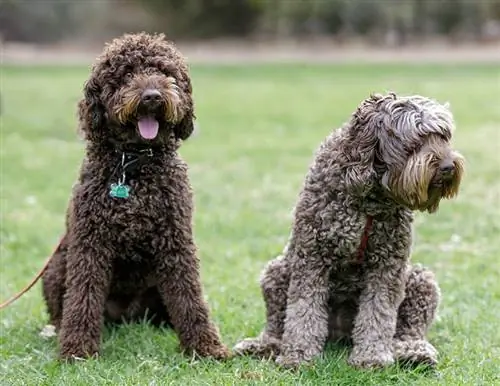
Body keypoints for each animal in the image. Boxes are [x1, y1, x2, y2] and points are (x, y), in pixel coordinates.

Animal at [42, 33, 229, 362]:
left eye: (166, 73)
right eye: (127, 74)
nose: (152, 96)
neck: (132, 165)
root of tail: (126, 316)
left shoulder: (176, 242)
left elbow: (190, 296)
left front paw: (206, 347)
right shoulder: (90, 245)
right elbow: (82, 296)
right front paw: (77, 350)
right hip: (55, 267)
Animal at [234, 92, 464, 368]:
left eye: (443, 136)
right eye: (417, 139)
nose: (448, 167)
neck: (369, 194)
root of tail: (340, 333)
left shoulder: (388, 265)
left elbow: (378, 312)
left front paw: (371, 358)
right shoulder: (311, 257)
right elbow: (303, 311)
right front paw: (298, 356)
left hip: (420, 280)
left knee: (409, 327)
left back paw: (412, 351)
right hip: (277, 272)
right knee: (278, 323)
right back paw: (264, 345)